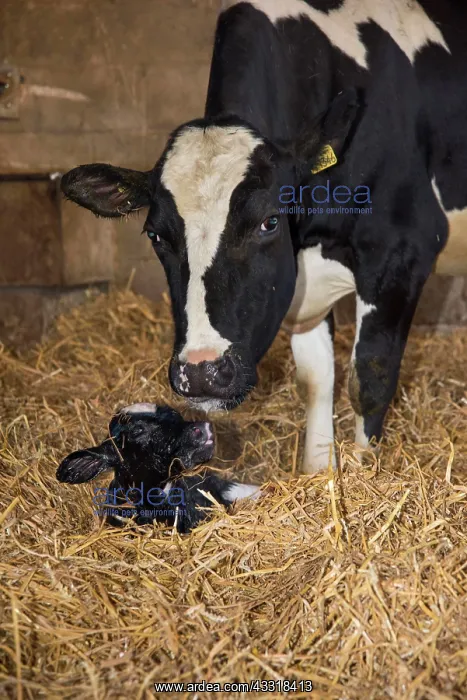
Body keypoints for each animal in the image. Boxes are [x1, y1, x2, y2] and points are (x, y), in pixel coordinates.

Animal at [60, 0, 467, 473]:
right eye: (156, 235)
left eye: (269, 222)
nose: (201, 372)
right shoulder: (300, 282)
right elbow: (316, 379)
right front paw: (320, 473)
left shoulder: (401, 255)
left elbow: (370, 379)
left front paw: (367, 472)